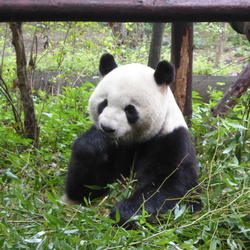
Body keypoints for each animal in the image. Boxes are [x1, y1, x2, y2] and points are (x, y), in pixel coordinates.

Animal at [64, 53, 201, 229]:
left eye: (130, 110)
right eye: (104, 103)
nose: (107, 127)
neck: (132, 140)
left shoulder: (171, 138)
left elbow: (172, 185)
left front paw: (124, 212)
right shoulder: (115, 147)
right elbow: (85, 189)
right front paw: (93, 144)